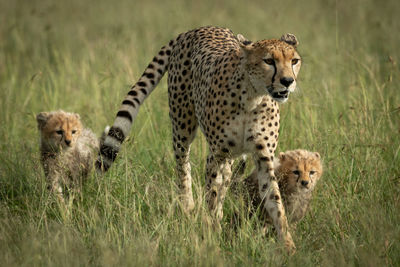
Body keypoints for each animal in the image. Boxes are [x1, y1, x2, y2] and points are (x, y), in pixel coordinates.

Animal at [97, 26, 300, 252]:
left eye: (294, 61)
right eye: (269, 61)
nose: (288, 81)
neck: (253, 96)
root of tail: (195, 30)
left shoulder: (263, 158)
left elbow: (275, 201)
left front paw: (289, 245)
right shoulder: (216, 155)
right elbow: (211, 194)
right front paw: (211, 234)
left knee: (226, 177)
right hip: (182, 126)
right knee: (183, 165)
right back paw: (188, 206)